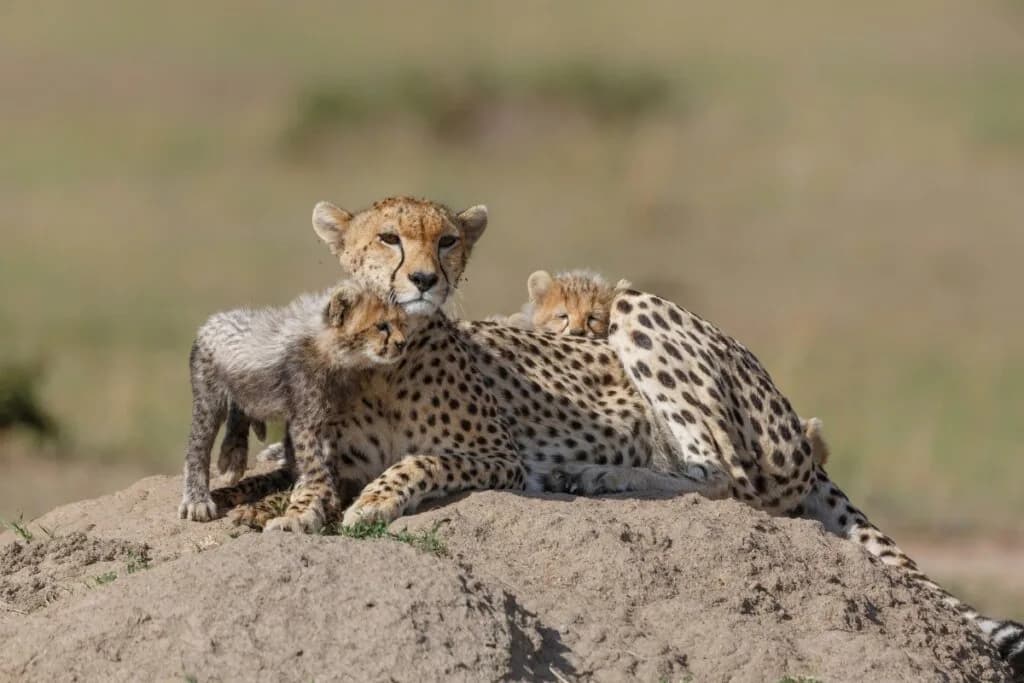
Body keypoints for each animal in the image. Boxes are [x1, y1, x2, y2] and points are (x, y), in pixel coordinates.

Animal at [220, 287, 1021, 674]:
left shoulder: (495, 452)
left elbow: (414, 463)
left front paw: (368, 504)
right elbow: (288, 485)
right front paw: (271, 512)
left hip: (653, 322)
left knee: (723, 477)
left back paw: (594, 472)